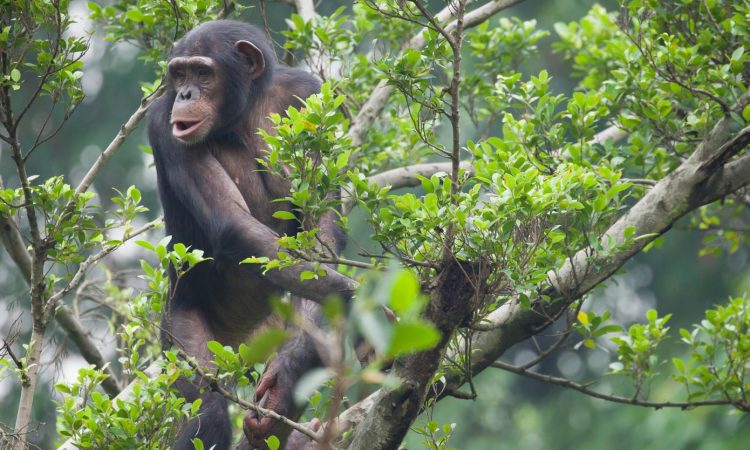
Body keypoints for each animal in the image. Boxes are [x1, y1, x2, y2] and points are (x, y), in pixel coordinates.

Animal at [151, 20, 358, 450]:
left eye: (202, 73)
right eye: (179, 74)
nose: (185, 94)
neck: (244, 110)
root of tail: (242, 344)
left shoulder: (310, 96)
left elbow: (320, 225)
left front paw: (285, 377)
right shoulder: (162, 120)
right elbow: (232, 223)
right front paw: (359, 294)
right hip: (181, 325)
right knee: (207, 410)